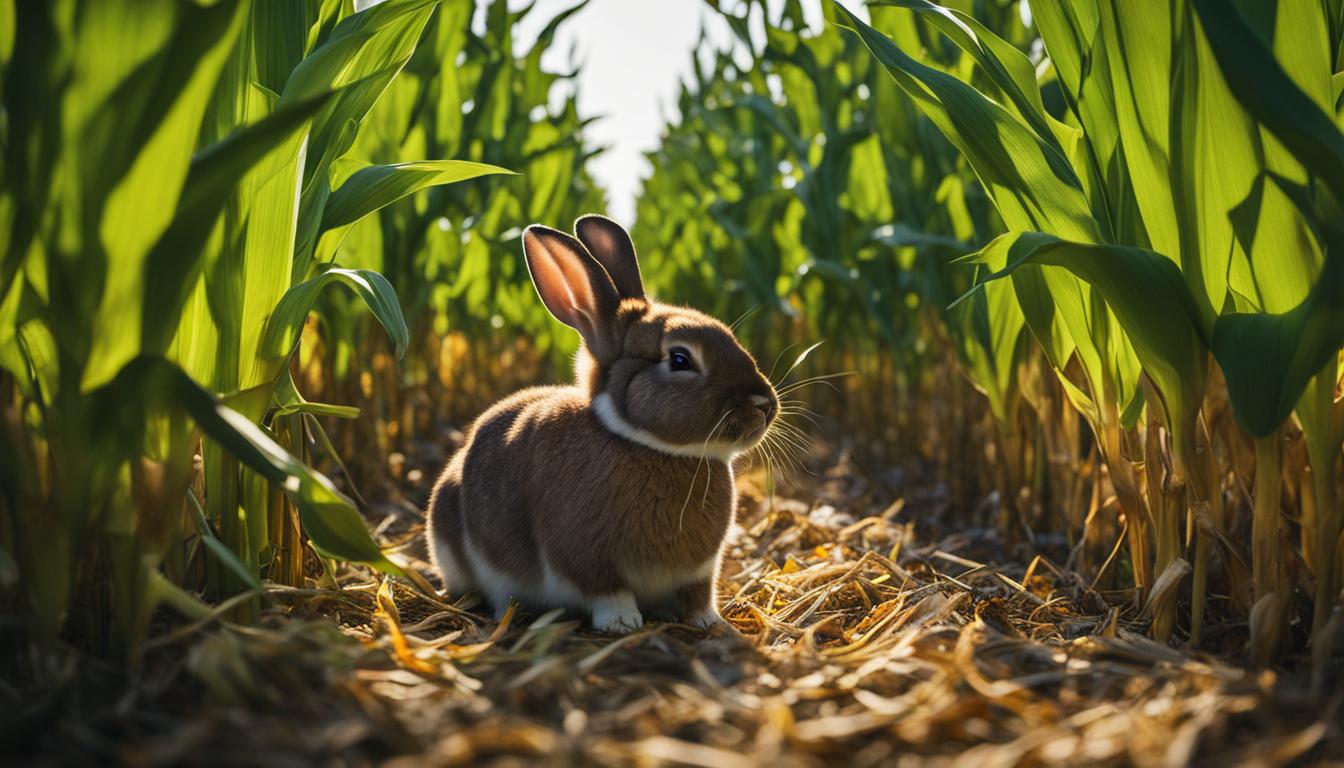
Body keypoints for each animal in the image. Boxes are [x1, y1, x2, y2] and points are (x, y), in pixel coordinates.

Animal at [425, 214, 778, 633]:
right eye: (680, 359)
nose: (766, 405)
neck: (644, 443)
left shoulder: (700, 571)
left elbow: (698, 594)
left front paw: (710, 622)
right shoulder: (586, 558)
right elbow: (608, 591)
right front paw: (622, 623)